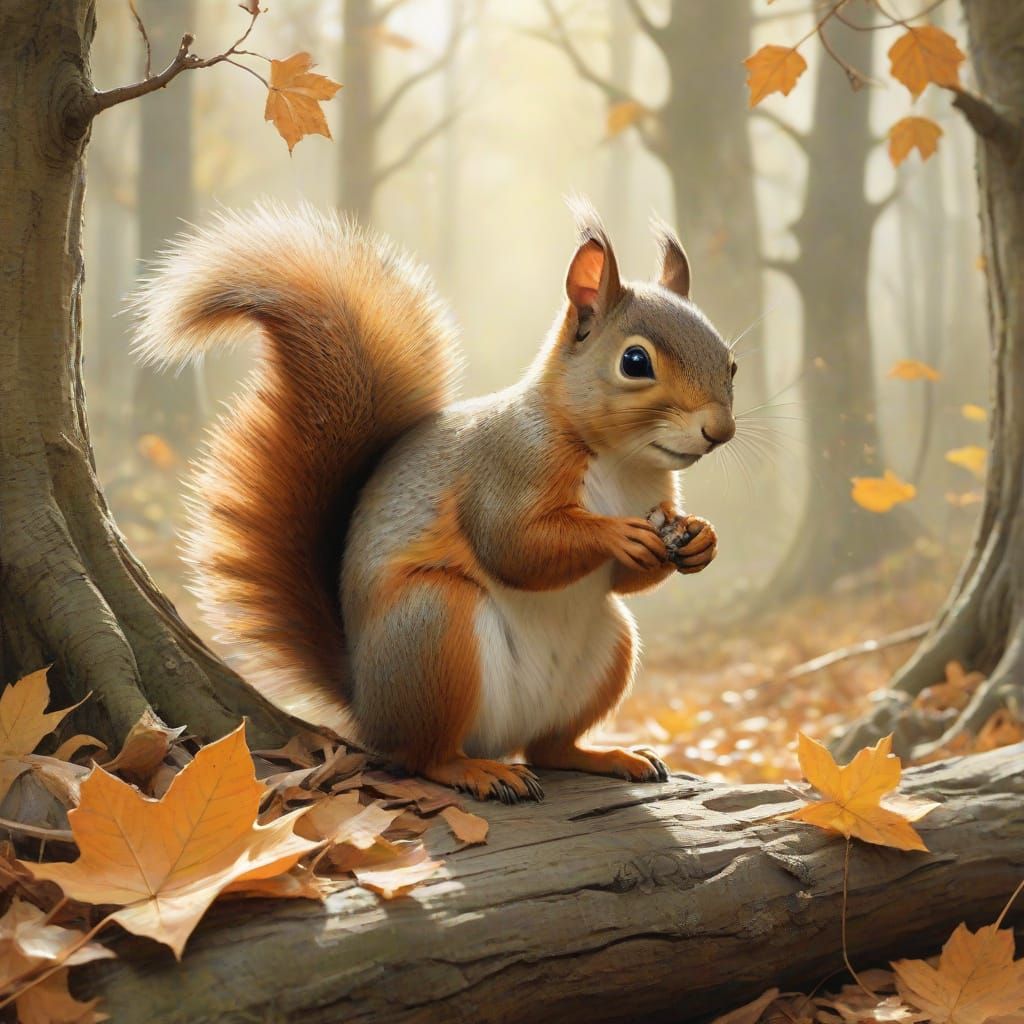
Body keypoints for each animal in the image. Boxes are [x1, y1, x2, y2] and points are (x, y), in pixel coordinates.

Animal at [133, 199, 737, 802]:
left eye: (730, 364)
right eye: (635, 362)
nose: (720, 431)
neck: (618, 459)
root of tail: (366, 704)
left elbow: (624, 580)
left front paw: (701, 539)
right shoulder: (506, 467)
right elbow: (514, 547)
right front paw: (619, 533)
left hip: (609, 647)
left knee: (550, 748)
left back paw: (607, 756)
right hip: (433, 631)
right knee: (423, 756)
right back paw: (478, 771)